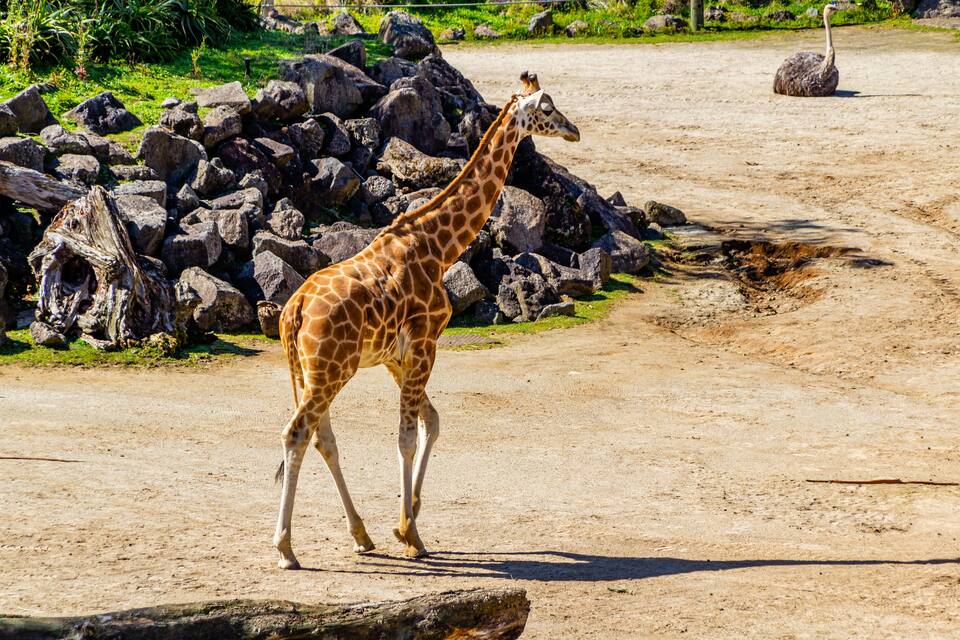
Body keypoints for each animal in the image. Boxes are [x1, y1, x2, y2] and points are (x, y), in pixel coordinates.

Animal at [273, 71, 580, 569]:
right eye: (548, 109)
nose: (575, 131)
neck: (440, 248)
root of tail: (292, 313)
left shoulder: (396, 355)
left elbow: (431, 422)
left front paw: (407, 522)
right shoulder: (425, 343)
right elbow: (407, 437)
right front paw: (410, 533)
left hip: (308, 371)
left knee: (322, 438)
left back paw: (360, 534)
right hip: (331, 370)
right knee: (297, 433)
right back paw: (285, 547)